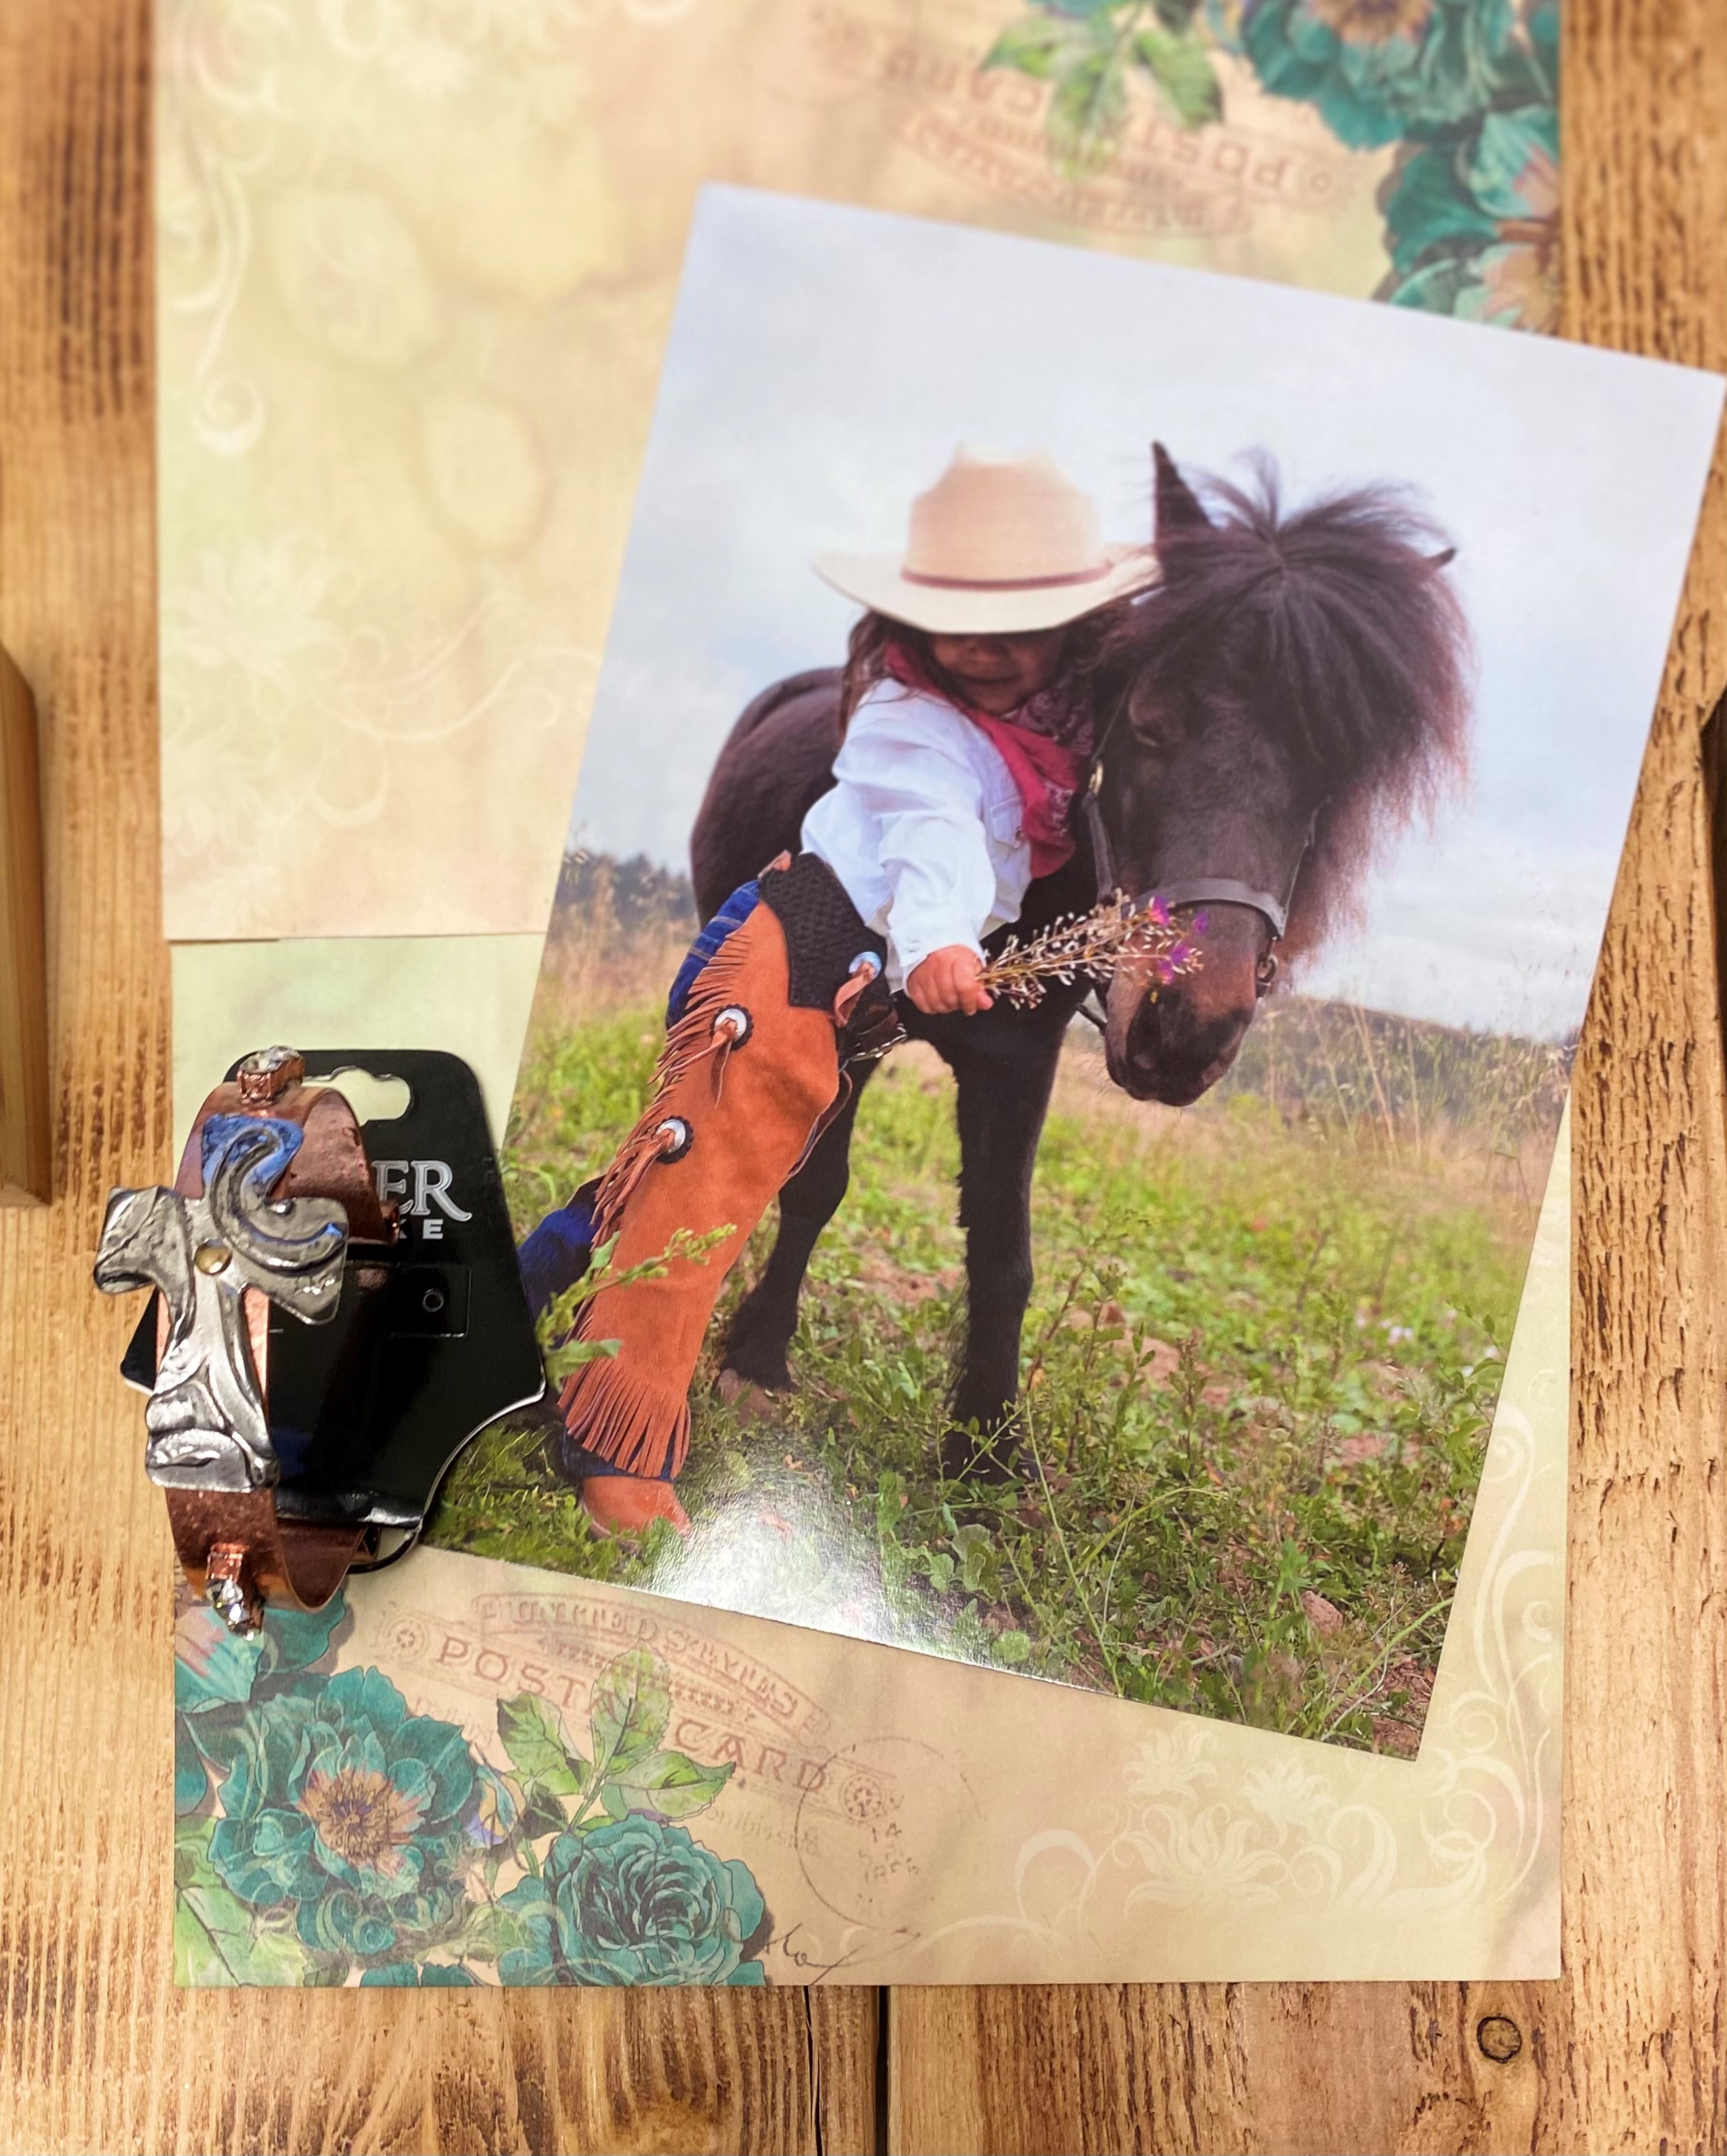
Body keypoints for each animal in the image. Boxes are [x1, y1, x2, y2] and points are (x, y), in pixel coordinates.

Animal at [685, 446, 1466, 1474]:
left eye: (1330, 776)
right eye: (1148, 723)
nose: (1186, 1030)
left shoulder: (1021, 1059)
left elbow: (1004, 1251)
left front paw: (984, 1446)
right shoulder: (841, 1027)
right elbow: (815, 1185)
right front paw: (758, 1357)